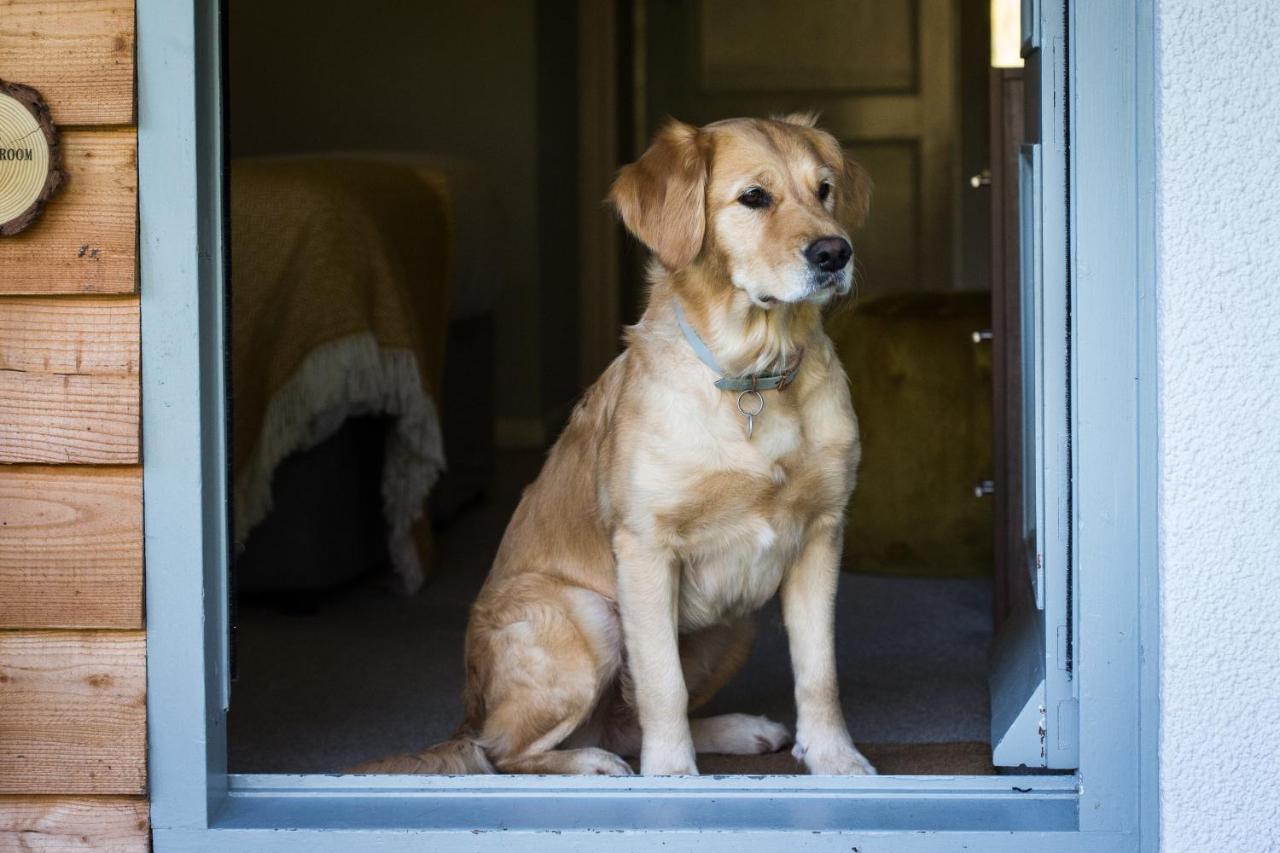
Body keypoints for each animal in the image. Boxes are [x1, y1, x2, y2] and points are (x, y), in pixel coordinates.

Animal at [366, 114, 875, 778]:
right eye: (754, 197)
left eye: (825, 191)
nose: (835, 252)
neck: (752, 378)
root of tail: (469, 709)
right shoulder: (643, 549)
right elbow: (662, 683)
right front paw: (673, 777)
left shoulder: (821, 533)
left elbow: (819, 671)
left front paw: (835, 758)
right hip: (588, 616)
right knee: (500, 750)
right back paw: (592, 763)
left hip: (734, 625)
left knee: (620, 723)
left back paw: (734, 730)